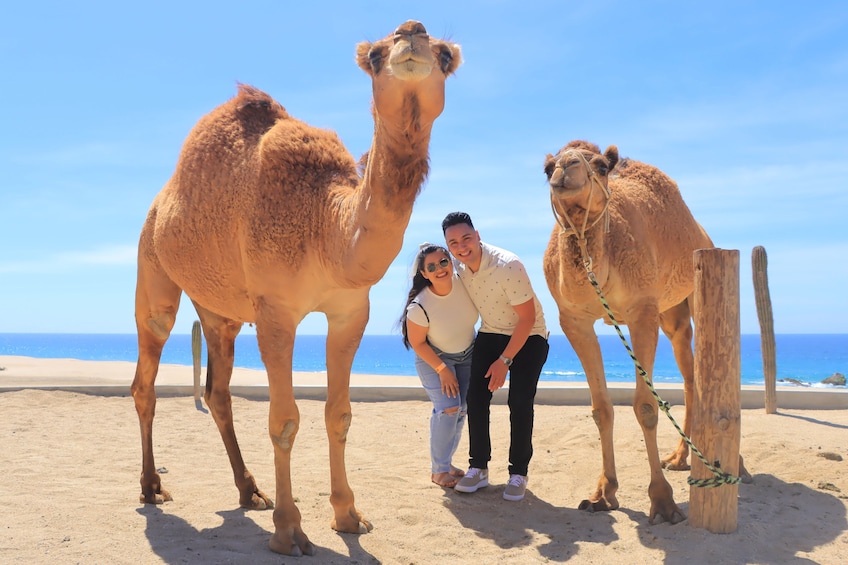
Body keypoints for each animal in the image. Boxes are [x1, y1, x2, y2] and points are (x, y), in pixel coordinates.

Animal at [130, 21, 461, 556]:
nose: (411, 32)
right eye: (374, 55)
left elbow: (339, 414)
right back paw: (151, 486)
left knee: (218, 390)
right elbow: (284, 420)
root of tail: (160, 202)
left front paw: (348, 516)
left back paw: (249, 491)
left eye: (446, 56)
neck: (325, 224)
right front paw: (289, 531)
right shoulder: (276, 312)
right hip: (152, 265)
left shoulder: (350, 311)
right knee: (147, 370)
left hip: (220, 310)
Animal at [542, 140, 725, 524]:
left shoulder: (642, 311)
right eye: (547, 167)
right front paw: (602, 493)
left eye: (600, 166)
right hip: (671, 312)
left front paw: (664, 502)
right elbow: (601, 408)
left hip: (697, 286)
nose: (565, 168)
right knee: (688, 369)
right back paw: (679, 458)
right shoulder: (573, 320)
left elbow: (645, 406)